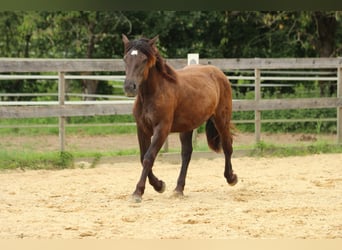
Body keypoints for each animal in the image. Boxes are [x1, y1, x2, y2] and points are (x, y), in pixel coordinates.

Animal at [122, 34, 238, 202]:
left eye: (144, 59)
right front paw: (159, 185)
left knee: (227, 145)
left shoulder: (162, 129)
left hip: (221, 119)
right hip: (187, 127)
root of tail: (218, 73)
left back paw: (231, 178)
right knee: (186, 154)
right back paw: (178, 189)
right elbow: (143, 157)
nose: (129, 87)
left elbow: (149, 158)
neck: (152, 94)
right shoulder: (142, 129)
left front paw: (138, 192)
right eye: (125, 59)